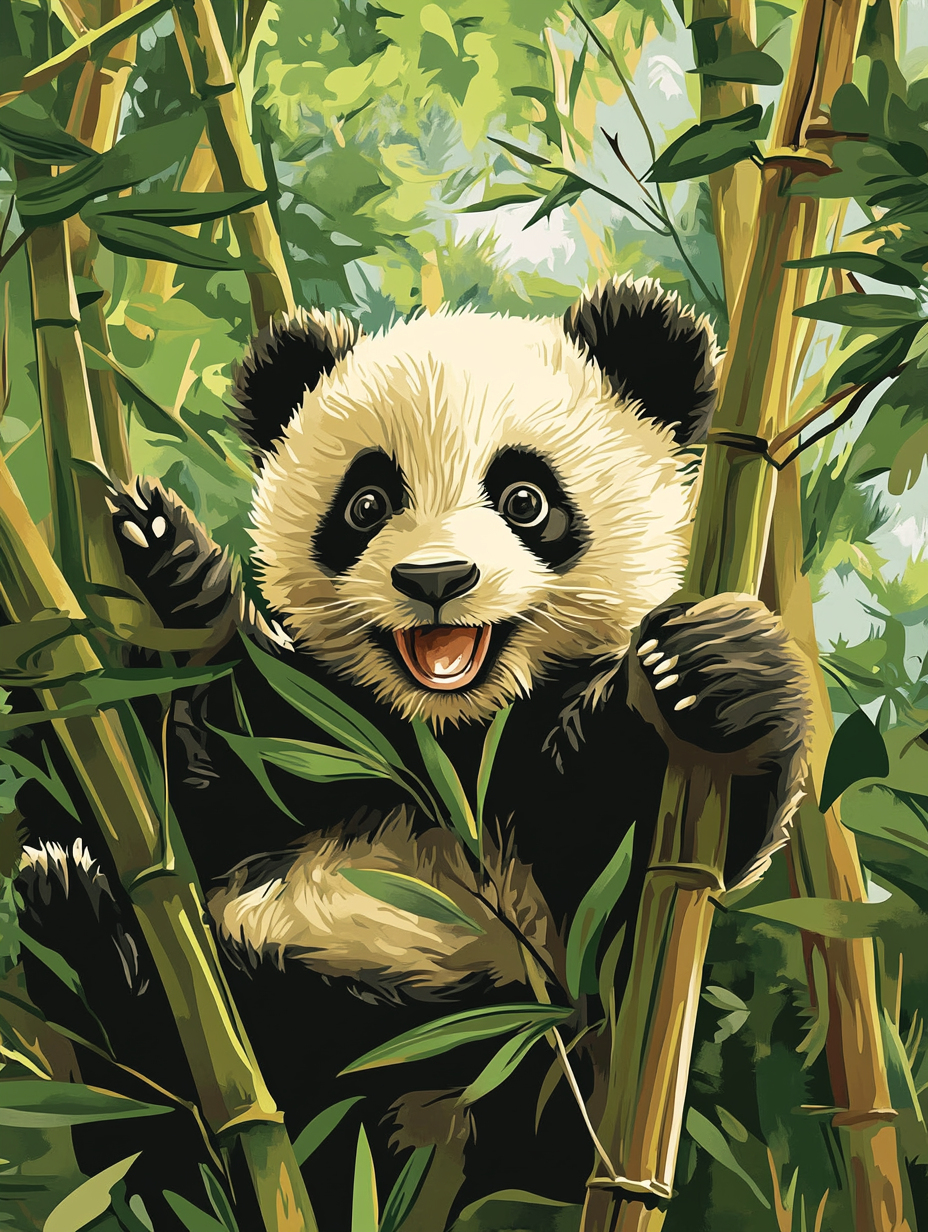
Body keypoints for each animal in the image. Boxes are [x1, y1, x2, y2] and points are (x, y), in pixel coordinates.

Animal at [16, 276, 809, 1230]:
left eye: (524, 498)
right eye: (366, 504)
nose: (434, 580)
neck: (445, 743)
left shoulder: (567, 873)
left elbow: (656, 847)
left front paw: (713, 669)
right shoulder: (312, 726)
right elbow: (193, 768)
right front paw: (173, 578)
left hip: (473, 1087)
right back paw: (87, 926)